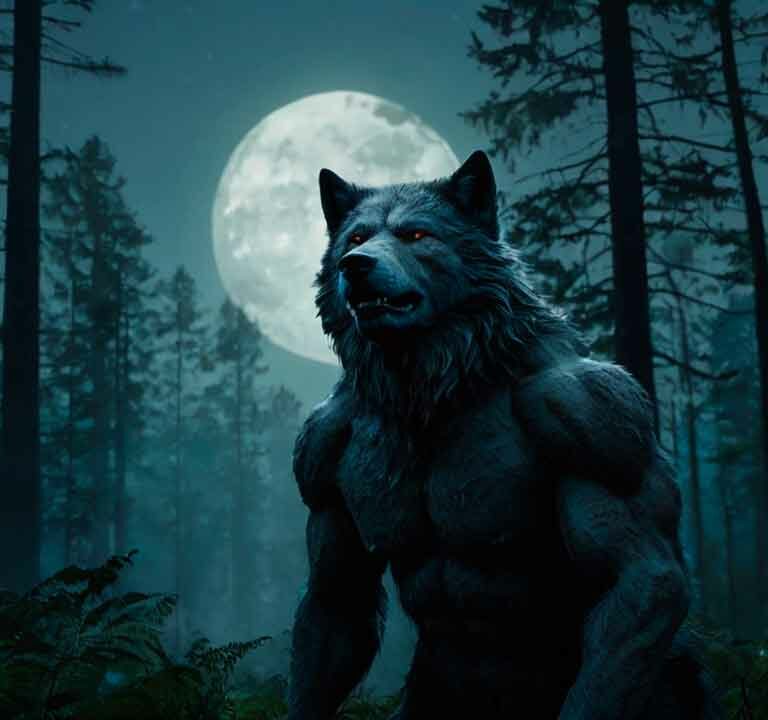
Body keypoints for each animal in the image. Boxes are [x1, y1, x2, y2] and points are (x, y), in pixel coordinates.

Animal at [286, 150, 721, 720]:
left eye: (416, 235)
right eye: (356, 238)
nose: (354, 266)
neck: (433, 390)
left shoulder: (593, 417)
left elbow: (638, 575)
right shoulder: (322, 449)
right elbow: (337, 595)